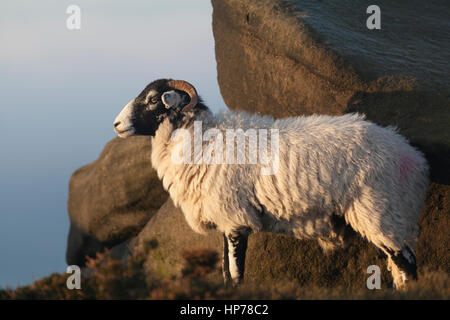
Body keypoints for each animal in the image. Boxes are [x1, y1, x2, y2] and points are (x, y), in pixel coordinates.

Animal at [112, 79, 428, 288]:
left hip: (381, 210)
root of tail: (411, 156)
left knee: (407, 263)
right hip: (385, 215)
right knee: (398, 265)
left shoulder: (235, 219)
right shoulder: (223, 218)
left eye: (154, 99)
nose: (116, 125)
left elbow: (236, 273)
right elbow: (225, 272)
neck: (202, 140)